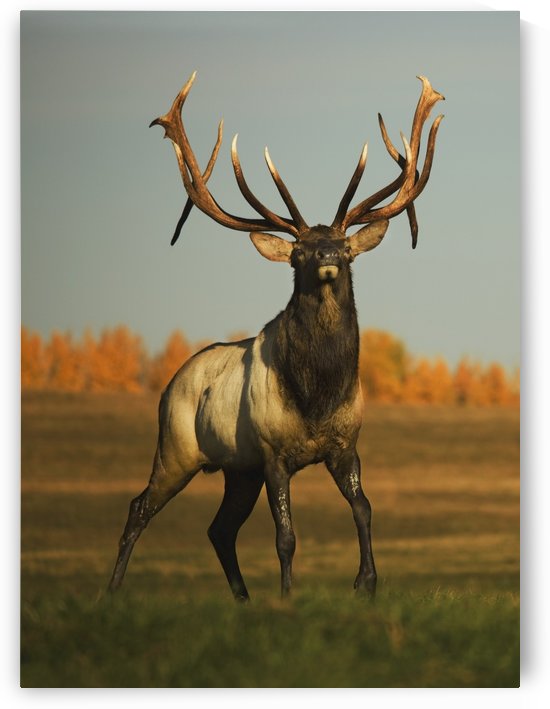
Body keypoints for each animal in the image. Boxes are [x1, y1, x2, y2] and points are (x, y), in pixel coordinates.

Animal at [108, 72, 444, 601]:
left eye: (345, 246)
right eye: (299, 251)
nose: (326, 254)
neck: (317, 396)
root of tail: (170, 383)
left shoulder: (345, 446)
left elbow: (364, 509)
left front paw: (366, 583)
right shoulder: (273, 454)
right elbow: (285, 535)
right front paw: (288, 597)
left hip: (235, 469)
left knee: (219, 528)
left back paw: (243, 599)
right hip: (177, 447)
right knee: (140, 506)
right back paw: (113, 589)